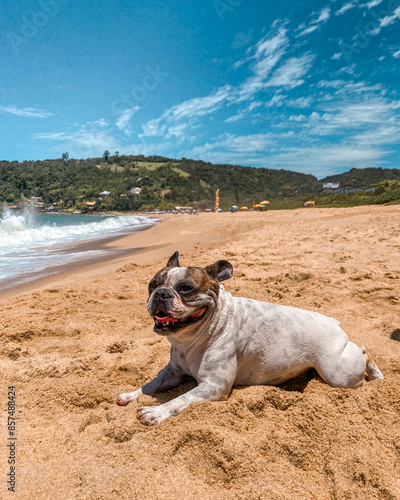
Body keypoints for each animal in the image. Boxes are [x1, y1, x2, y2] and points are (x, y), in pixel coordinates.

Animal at [116, 252, 384, 424]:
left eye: (185, 289)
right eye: (152, 285)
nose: (161, 294)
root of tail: (334, 322)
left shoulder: (213, 387)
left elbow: (180, 399)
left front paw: (156, 411)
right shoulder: (172, 373)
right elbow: (151, 384)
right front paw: (131, 395)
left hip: (337, 373)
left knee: (363, 354)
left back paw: (376, 374)